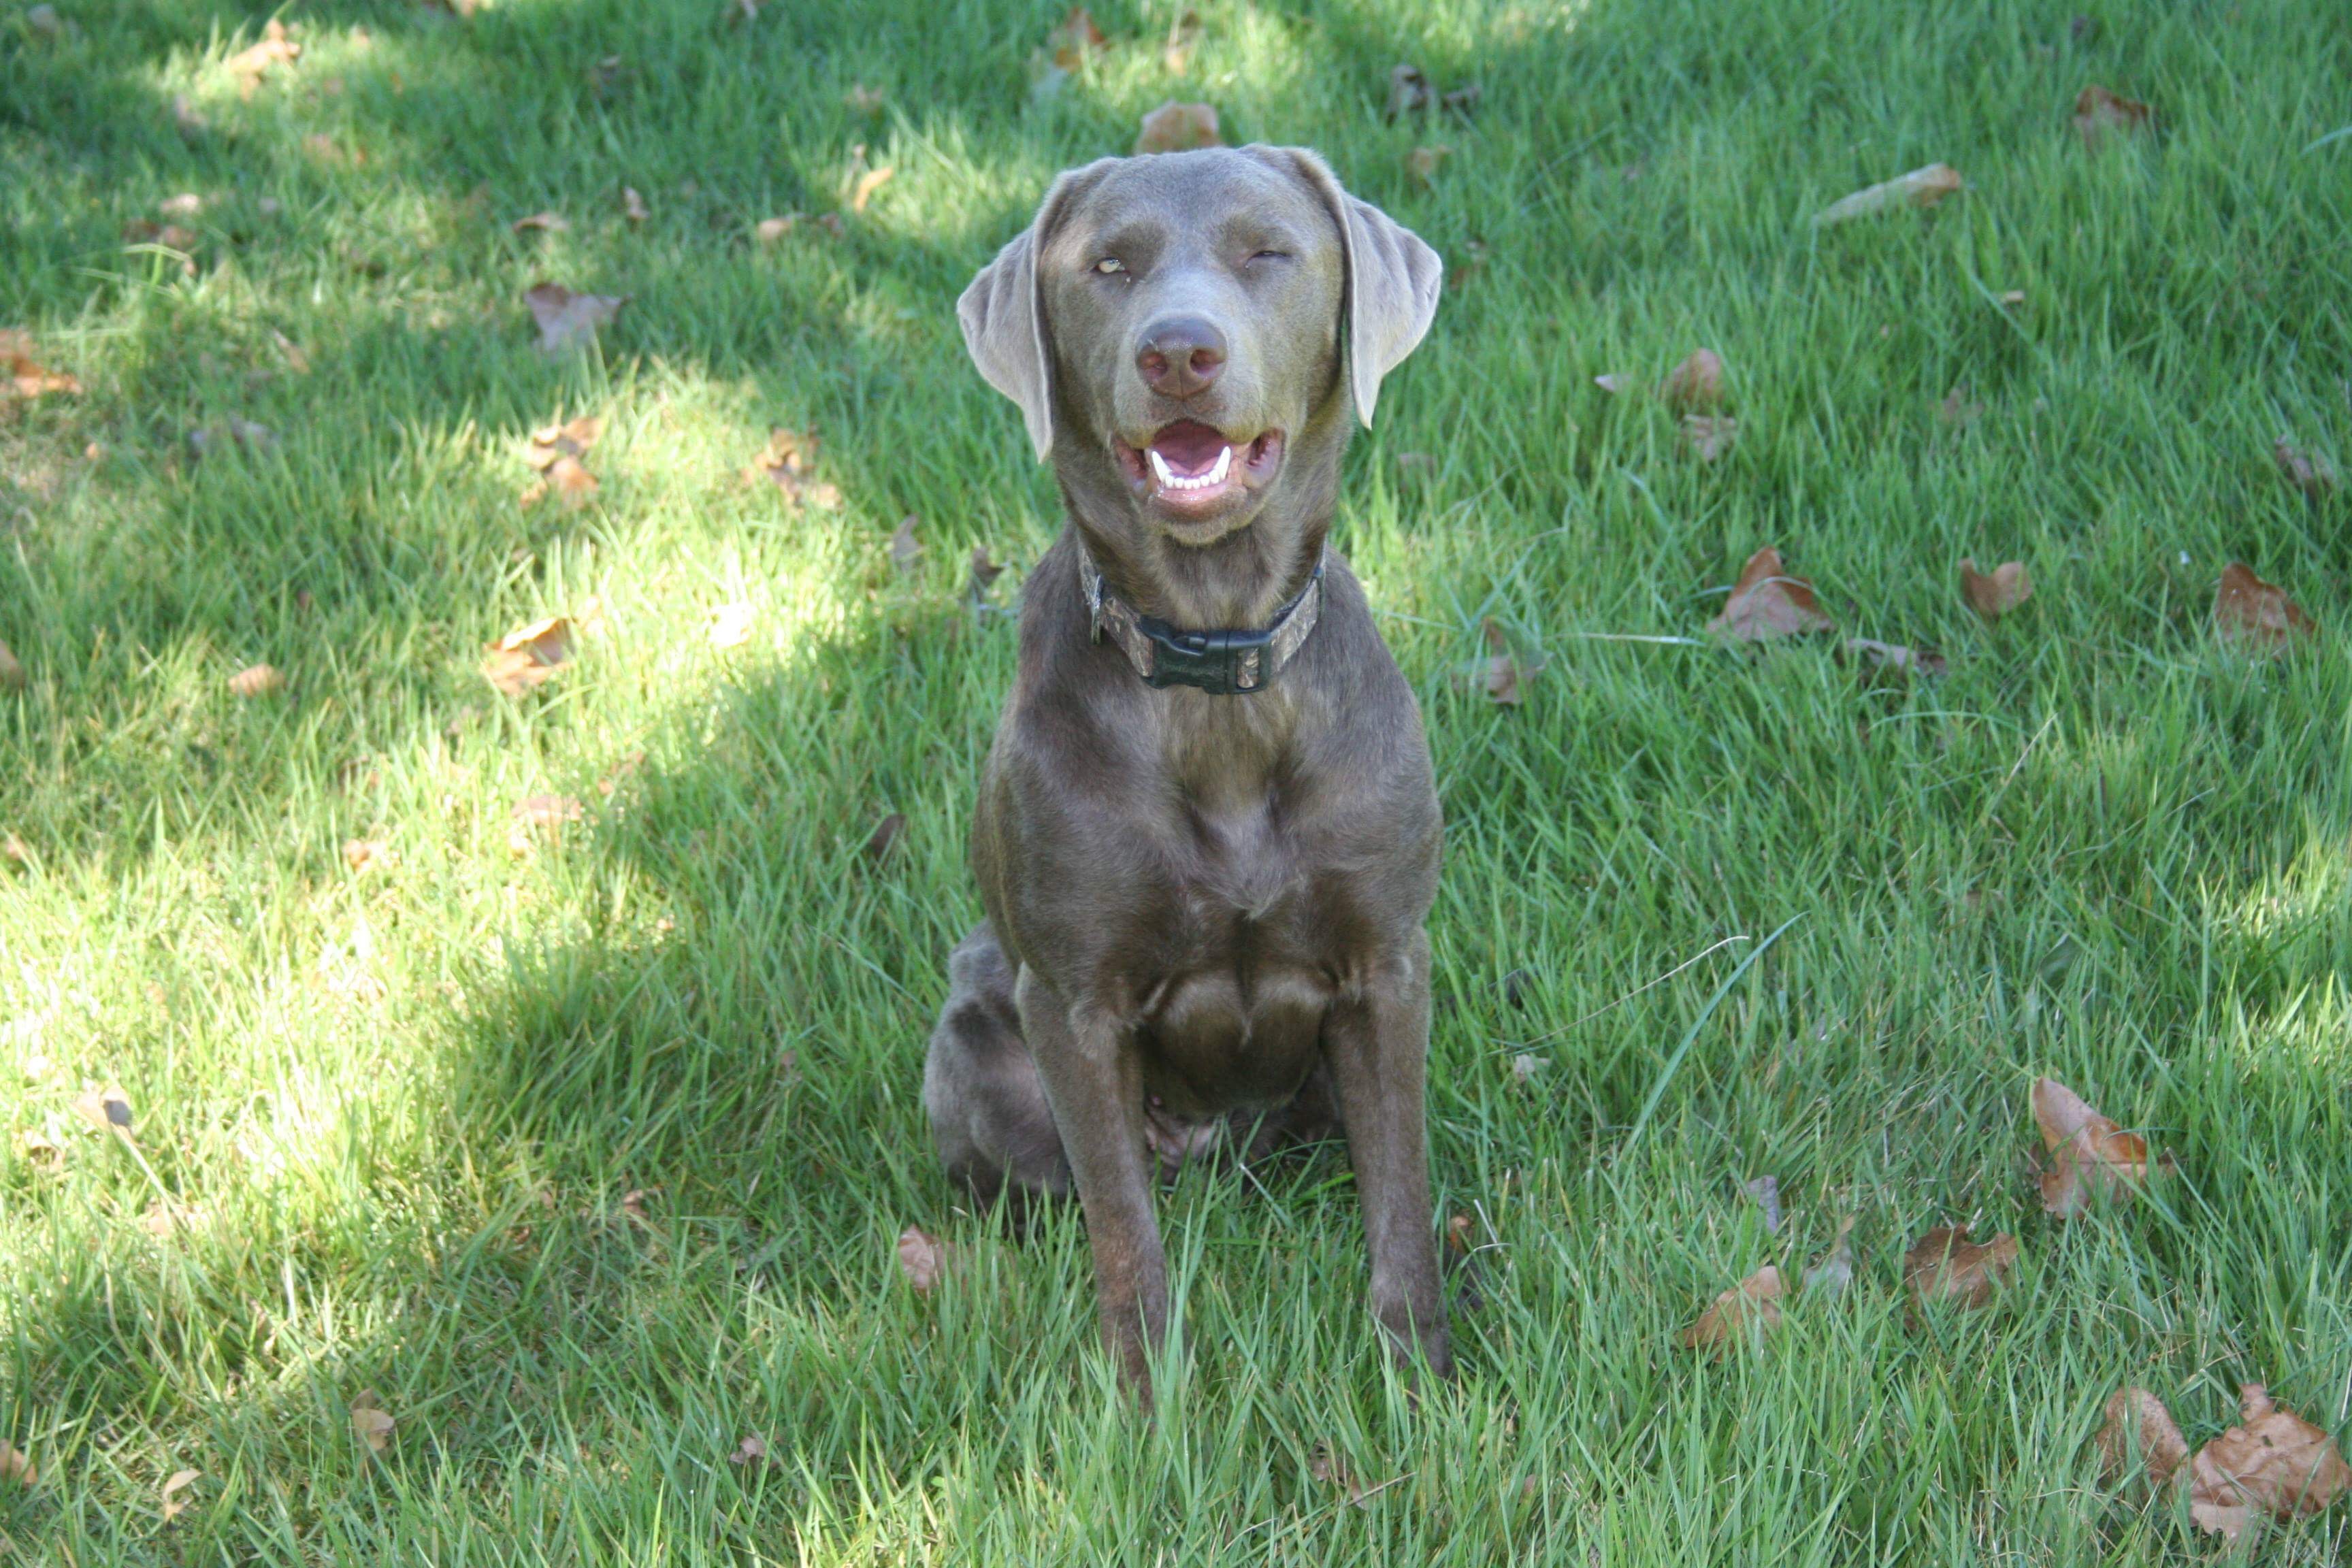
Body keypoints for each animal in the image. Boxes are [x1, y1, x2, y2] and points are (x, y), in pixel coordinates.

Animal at [921, 150, 1448, 1401]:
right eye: (1109, 266)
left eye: (1268, 251)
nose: (1178, 354)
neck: (1216, 668)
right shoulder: (1071, 1006)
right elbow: (1123, 1226)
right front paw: (1147, 1404)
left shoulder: (1388, 968)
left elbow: (1400, 1189)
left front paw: (1420, 1376)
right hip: (975, 1032)